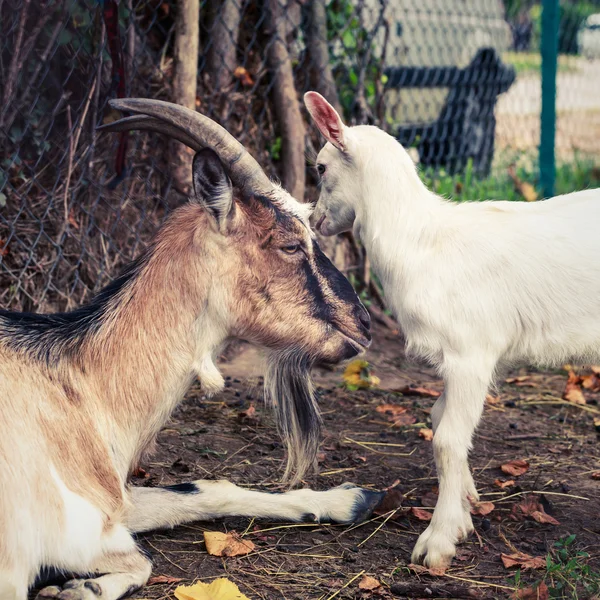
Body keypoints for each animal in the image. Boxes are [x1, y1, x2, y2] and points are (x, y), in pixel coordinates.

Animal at [0, 101, 382, 600]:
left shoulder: (118, 501)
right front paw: (80, 589)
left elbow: (206, 487)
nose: (364, 323)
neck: (81, 390)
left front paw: (351, 497)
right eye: (290, 244)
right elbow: (138, 560)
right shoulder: (62, 533)